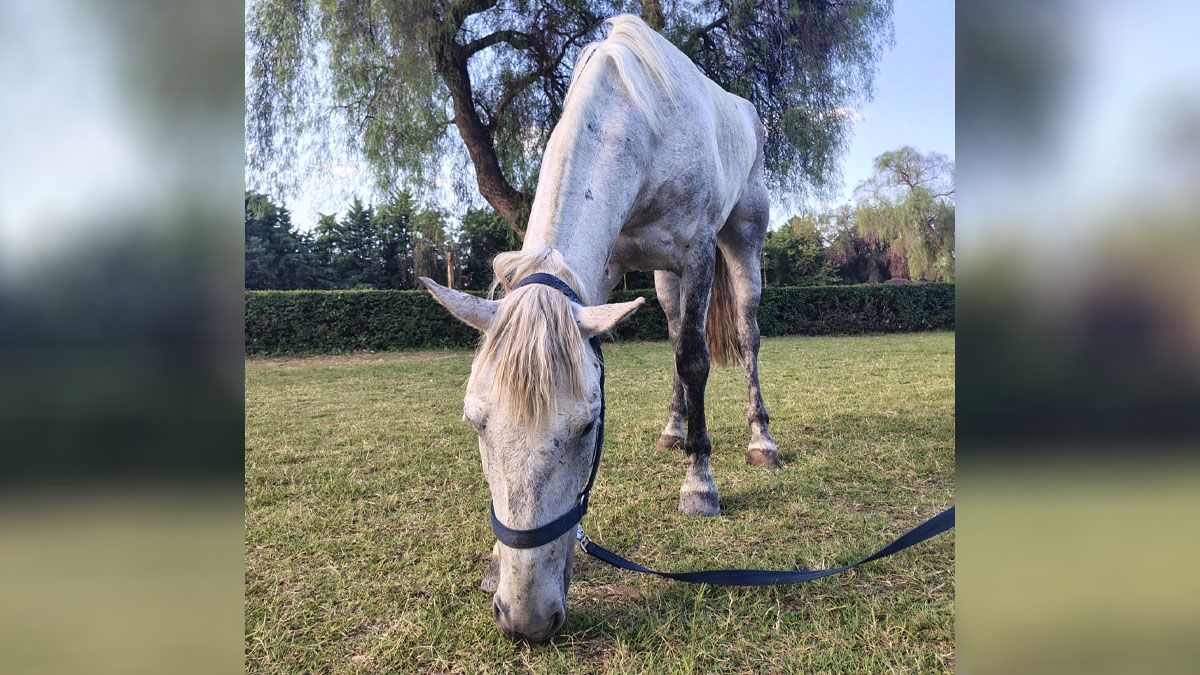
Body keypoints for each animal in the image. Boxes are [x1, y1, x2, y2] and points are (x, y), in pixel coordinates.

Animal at [420, 14, 779, 642]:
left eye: (589, 427)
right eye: (475, 422)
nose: (526, 617)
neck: (640, 123)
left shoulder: (696, 254)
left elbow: (696, 360)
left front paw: (699, 484)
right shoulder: (610, 267)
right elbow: (676, 351)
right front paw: (493, 566)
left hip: (742, 240)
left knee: (745, 333)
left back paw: (760, 438)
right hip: (663, 276)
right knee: (673, 332)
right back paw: (673, 428)